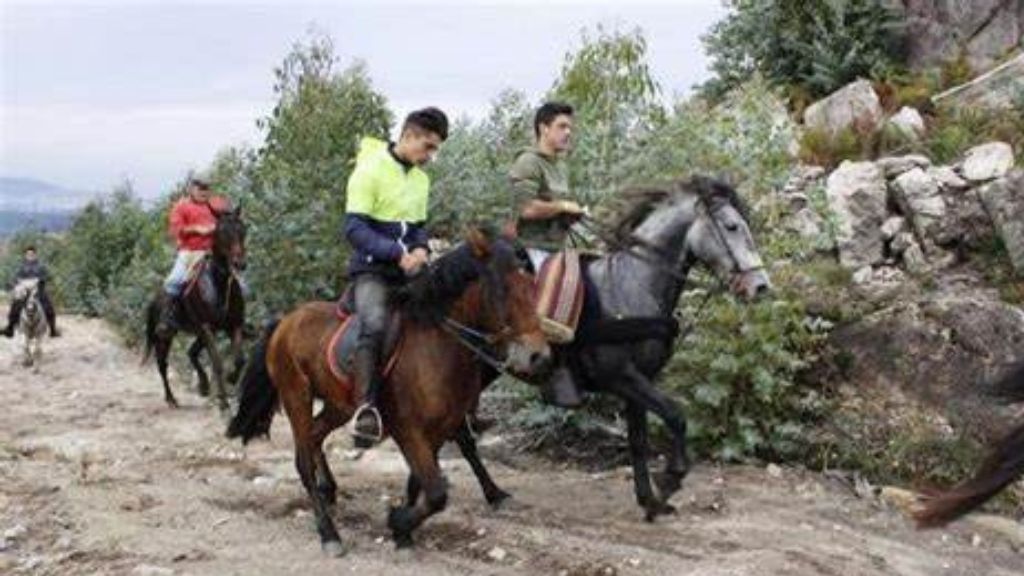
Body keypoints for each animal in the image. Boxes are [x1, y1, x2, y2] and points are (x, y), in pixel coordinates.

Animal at [143, 208, 246, 409]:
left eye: (243, 230)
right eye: (221, 232)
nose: (240, 263)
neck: (218, 284)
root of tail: (154, 299)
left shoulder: (234, 325)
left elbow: (239, 360)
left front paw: (231, 379)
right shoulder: (207, 328)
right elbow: (217, 362)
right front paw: (223, 402)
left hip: (198, 332)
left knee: (191, 352)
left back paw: (203, 386)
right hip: (165, 336)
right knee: (162, 365)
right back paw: (171, 399)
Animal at [227, 227, 552, 553]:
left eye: (534, 287)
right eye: (504, 289)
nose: (538, 357)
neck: (438, 345)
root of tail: (285, 322)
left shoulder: (439, 429)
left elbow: (419, 482)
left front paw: (403, 532)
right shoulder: (409, 429)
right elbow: (436, 492)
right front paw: (398, 521)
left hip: (339, 405)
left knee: (316, 435)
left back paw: (329, 489)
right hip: (297, 396)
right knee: (303, 461)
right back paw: (329, 534)